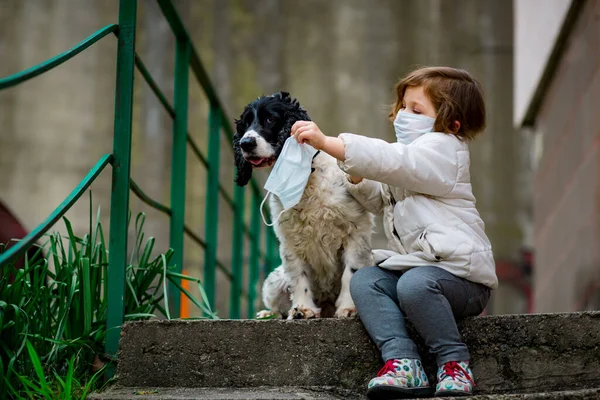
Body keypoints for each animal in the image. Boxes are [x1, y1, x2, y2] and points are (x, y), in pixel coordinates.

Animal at [233, 91, 370, 318]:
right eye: (245, 124)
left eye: (270, 119)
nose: (246, 143)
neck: (307, 182)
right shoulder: (290, 240)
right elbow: (299, 276)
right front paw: (303, 309)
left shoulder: (355, 232)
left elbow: (351, 273)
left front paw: (348, 308)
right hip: (274, 282)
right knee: (276, 305)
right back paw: (268, 314)